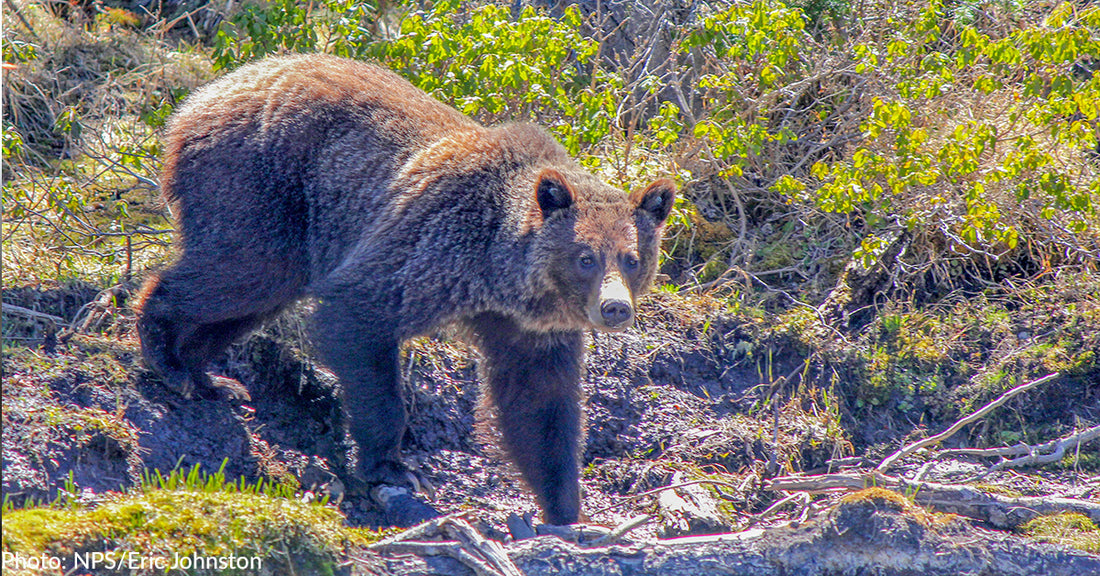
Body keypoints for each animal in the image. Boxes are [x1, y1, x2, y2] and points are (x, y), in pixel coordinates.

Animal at [135, 54, 676, 526]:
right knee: (241, 270)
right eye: (586, 257)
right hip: (259, 181)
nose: (614, 308)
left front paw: (565, 508)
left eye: (633, 259)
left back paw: (206, 376)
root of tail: (199, 98)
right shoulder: (429, 247)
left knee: (250, 298)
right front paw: (393, 465)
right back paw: (165, 354)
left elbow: (540, 404)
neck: (499, 271)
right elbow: (358, 321)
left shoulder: (529, 328)